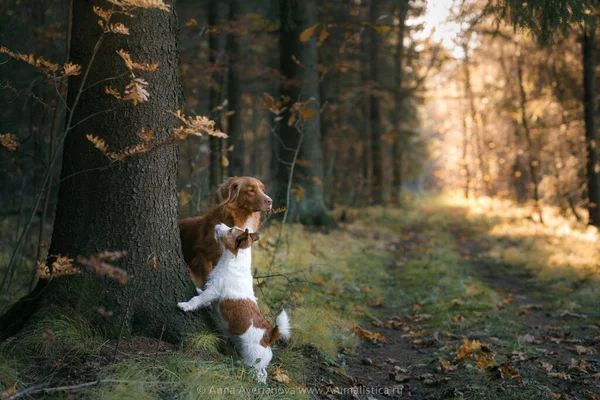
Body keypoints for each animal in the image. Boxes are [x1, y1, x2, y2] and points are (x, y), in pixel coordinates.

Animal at [176, 223, 290, 382]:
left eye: (230, 230)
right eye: (233, 227)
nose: (218, 224)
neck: (235, 261)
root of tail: (268, 336)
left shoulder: (214, 290)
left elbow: (198, 299)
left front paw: (186, 306)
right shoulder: (211, 290)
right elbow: (203, 296)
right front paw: (198, 291)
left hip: (253, 360)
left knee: (258, 373)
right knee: (264, 373)